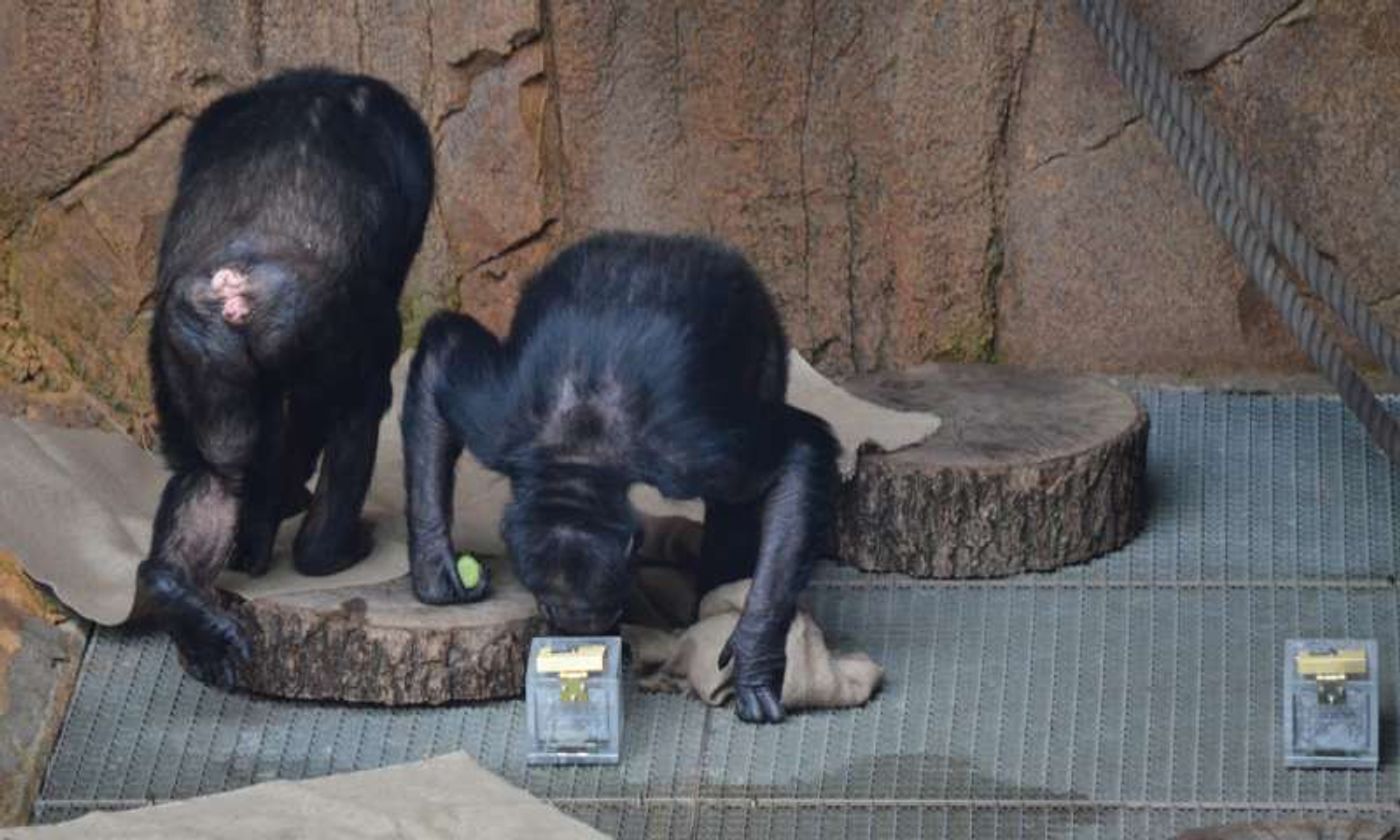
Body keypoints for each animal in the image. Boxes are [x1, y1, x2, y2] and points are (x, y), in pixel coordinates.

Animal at [137, 70, 431, 688]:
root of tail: (234, 288)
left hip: (189, 343)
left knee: (216, 470)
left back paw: (181, 593)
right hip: (324, 321)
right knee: (356, 409)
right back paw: (329, 550)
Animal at [406, 231, 840, 722]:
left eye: (603, 604)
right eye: (549, 605)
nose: (583, 629)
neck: (578, 450)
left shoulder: (700, 454)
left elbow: (798, 451)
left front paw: (754, 659)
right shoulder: (492, 418)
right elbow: (443, 353)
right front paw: (437, 572)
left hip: (760, 330)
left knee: (737, 503)